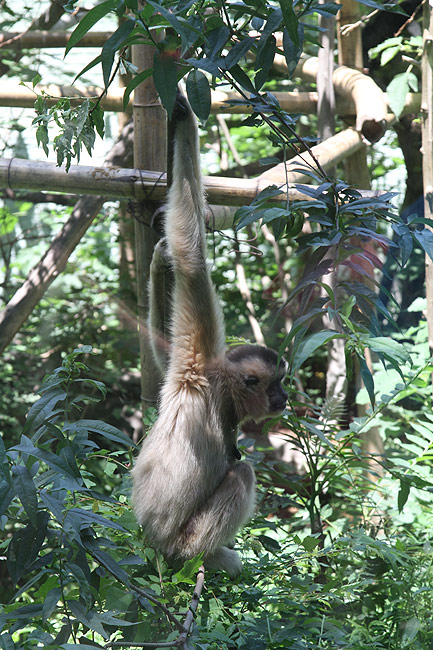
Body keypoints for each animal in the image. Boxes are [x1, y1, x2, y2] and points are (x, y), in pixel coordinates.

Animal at [131, 93, 288, 577]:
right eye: (276, 384)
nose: (284, 398)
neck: (222, 395)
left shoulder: (181, 371)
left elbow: (162, 351)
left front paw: (159, 258)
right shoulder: (199, 364)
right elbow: (192, 259)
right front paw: (184, 113)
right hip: (178, 542)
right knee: (241, 472)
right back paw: (210, 556)